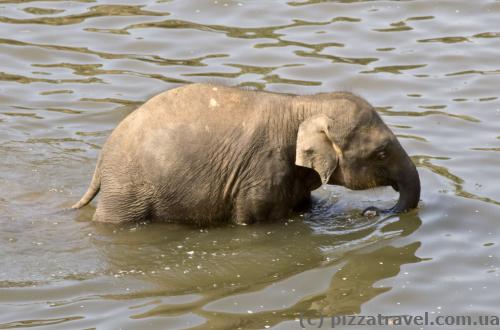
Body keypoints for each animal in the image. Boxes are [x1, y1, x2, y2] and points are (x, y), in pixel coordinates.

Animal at [72, 84, 420, 226]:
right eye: (381, 153)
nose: (370, 212)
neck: (303, 103)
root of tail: (101, 162)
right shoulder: (262, 170)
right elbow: (251, 220)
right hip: (127, 190)